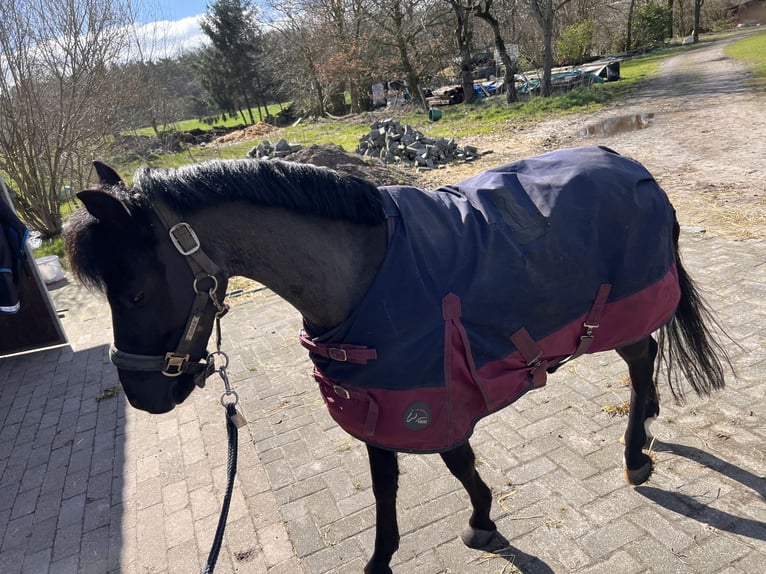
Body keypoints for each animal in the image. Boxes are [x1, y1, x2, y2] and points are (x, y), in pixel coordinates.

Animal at [63, 147, 728, 574]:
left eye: (135, 293)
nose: (143, 396)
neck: (362, 273)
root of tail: (635, 169)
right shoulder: (373, 399)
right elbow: (385, 484)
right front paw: (381, 559)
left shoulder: (431, 396)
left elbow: (458, 463)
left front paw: (482, 521)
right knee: (649, 359)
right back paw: (650, 423)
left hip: (621, 317)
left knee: (641, 360)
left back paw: (635, 455)